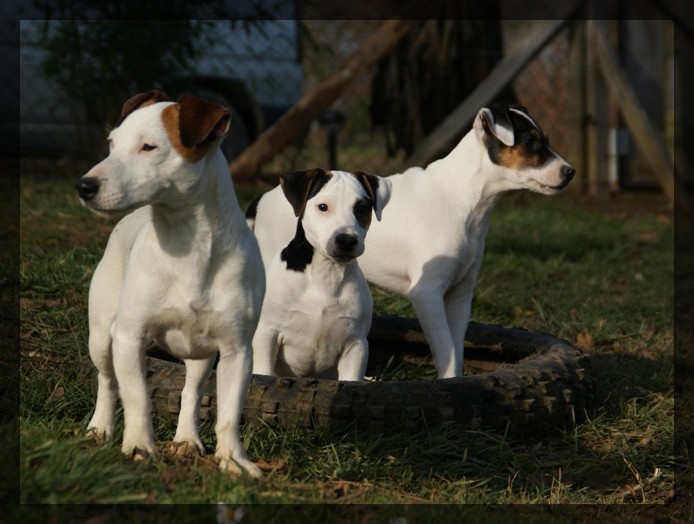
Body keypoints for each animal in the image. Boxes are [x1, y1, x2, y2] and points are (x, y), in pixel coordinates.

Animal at [76, 91, 266, 478]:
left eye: (149, 146)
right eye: (111, 143)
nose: (84, 185)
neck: (185, 242)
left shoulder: (237, 350)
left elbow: (228, 414)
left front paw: (233, 460)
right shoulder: (129, 337)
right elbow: (137, 397)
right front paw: (138, 446)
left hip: (203, 355)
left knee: (192, 390)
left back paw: (187, 439)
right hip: (101, 337)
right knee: (107, 380)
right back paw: (100, 427)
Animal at [251, 168, 394, 380]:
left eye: (361, 208)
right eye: (323, 207)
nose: (346, 240)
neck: (326, 273)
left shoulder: (356, 346)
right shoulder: (266, 335)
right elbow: (263, 374)